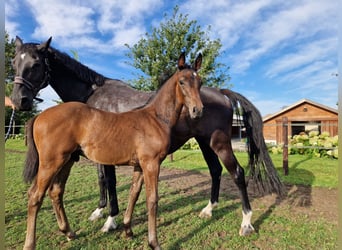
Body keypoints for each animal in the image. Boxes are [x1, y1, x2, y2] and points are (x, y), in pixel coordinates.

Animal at [10, 35, 284, 236]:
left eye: (36, 64)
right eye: (14, 62)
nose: (18, 100)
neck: (94, 95)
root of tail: (221, 93)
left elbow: (109, 182)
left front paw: (110, 220)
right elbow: (102, 181)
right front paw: (100, 212)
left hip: (220, 143)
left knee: (237, 173)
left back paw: (246, 222)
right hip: (205, 143)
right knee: (216, 171)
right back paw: (209, 209)